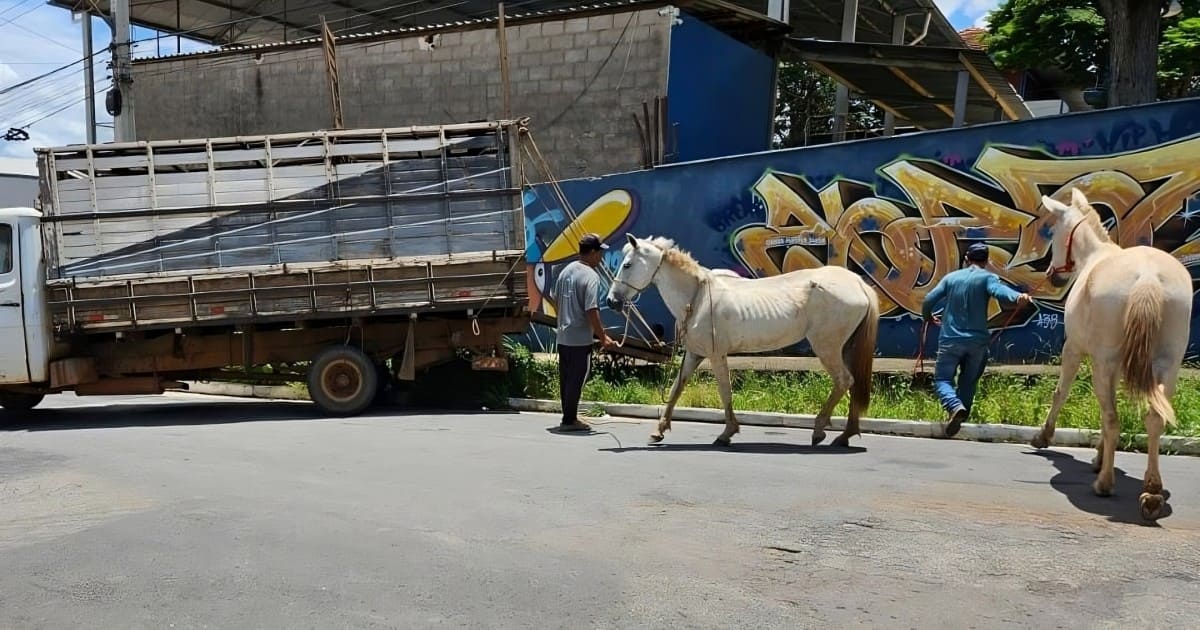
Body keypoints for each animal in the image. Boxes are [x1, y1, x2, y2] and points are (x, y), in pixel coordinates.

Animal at [604, 234, 878, 446]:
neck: (697, 297)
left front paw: (727, 432)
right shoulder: (694, 354)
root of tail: (858, 283)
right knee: (852, 384)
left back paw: (821, 430)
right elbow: (676, 389)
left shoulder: (716, 355)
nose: (612, 301)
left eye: (627, 264)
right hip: (845, 348)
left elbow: (725, 391)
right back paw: (845, 435)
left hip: (827, 347)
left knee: (844, 381)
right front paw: (658, 431)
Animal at [1032, 188, 1190, 520]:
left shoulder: (1076, 348)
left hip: (1104, 361)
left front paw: (1045, 435)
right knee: (1154, 417)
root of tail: (1148, 277)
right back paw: (1152, 492)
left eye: (1054, 233)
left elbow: (1063, 392)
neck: (1095, 255)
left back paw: (1105, 483)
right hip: (1168, 364)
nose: (1053, 275)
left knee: (1113, 417)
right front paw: (1099, 456)